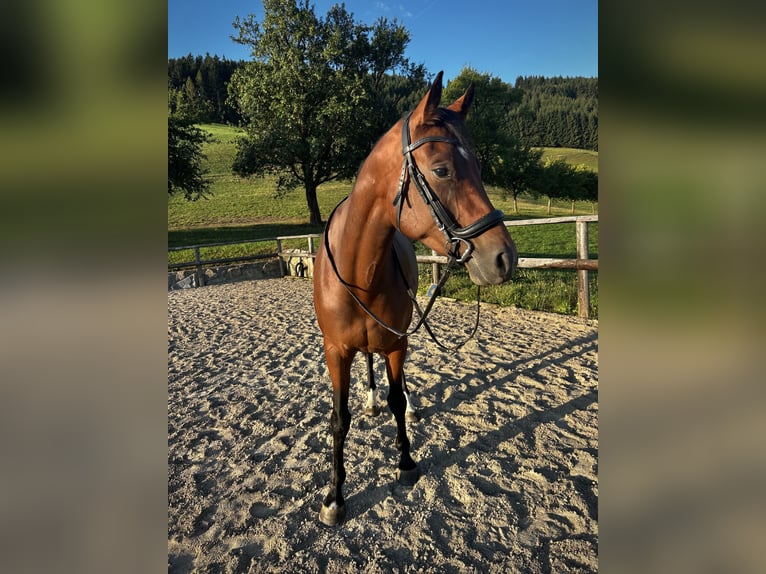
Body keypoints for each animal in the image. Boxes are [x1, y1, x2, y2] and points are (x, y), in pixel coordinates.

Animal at [312, 71, 518, 526]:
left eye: (479, 167)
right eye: (441, 169)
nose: (504, 258)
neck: (360, 272)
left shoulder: (396, 342)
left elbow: (396, 397)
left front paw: (405, 462)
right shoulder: (336, 350)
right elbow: (339, 419)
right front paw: (334, 497)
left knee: (398, 385)